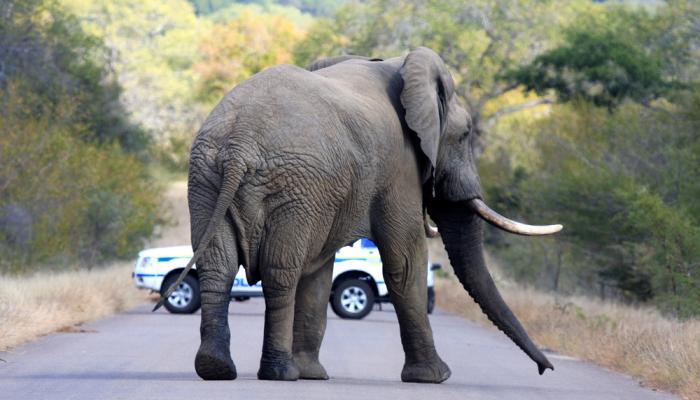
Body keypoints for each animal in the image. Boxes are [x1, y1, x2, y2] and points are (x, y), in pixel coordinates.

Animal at [156, 46, 560, 382]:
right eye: (465, 135)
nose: (546, 368)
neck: (401, 64)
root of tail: (239, 142)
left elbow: (320, 271)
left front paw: (313, 376)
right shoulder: (399, 165)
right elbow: (406, 262)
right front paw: (436, 377)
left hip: (211, 181)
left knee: (219, 267)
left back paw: (217, 368)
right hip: (291, 185)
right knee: (280, 271)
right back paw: (279, 373)